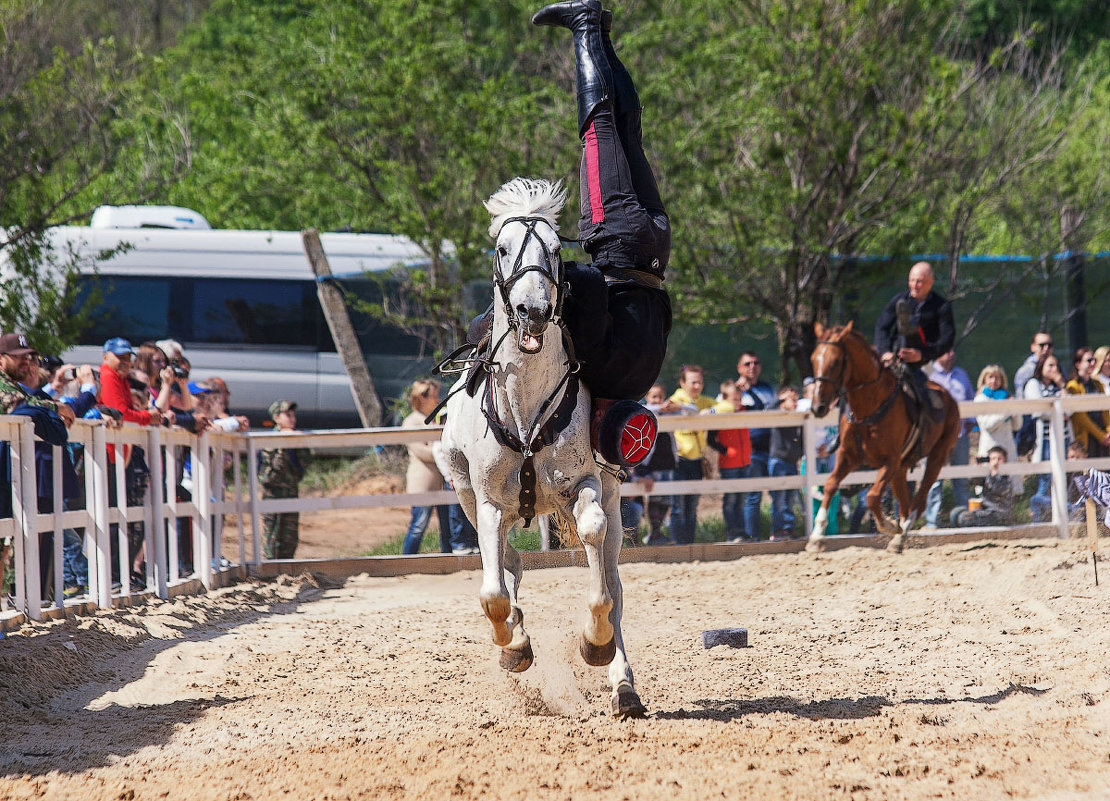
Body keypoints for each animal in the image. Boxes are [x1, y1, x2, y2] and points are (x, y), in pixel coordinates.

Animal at [435, 176, 643, 718]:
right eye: (503, 248)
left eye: (553, 250)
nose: (533, 310)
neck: (525, 406)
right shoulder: (488, 503)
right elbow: (493, 591)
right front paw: (514, 645)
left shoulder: (586, 485)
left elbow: (598, 568)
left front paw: (595, 642)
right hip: (468, 494)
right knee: (507, 566)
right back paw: (516, 634)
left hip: (610, 497)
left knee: (612, 581)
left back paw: (623, 683)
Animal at [808, 321, 963, 552]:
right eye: (813, 359)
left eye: (835, 362)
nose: (818, 407)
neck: (869, 407)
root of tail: (950, 399)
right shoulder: (847, 456)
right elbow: (829, 485)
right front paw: (817, 537)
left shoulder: (889, 461)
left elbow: (872, 497)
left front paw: (889, 525)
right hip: (900, 469)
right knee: (906, 503)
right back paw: (900, 536)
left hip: (936, 457)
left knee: (919, 501)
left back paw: (900, 535)